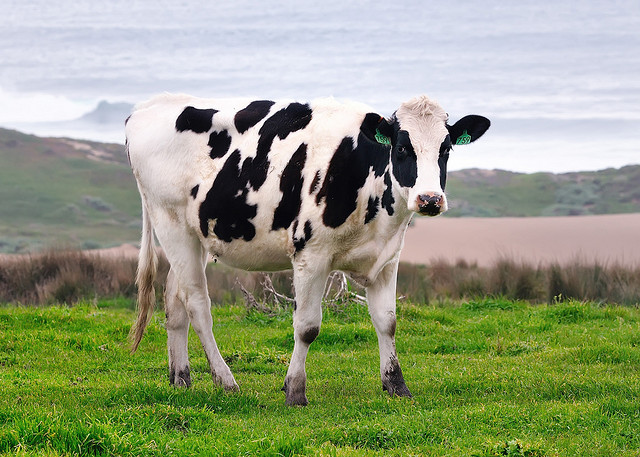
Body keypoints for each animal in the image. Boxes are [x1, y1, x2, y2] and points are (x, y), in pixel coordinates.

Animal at [127, 92, 492, 402]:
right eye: (402, 148)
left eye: (446, 149)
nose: (430, 199)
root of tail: (146, 106)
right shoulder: (310, 255)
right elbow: (307, 327)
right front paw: (294, 390)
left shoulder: (387, 259)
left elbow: (387, 321)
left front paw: (396, 385)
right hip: (171, 224)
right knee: (197, 305)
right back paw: (226, 381)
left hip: (194, 235)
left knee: (174, 301)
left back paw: (180, 378)